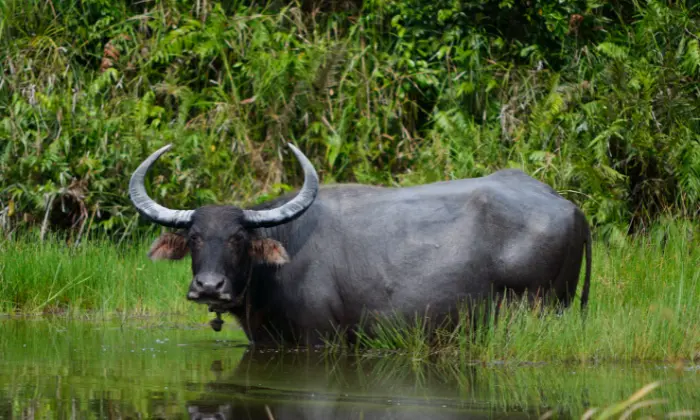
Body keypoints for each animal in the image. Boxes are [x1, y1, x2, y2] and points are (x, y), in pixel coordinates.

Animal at [127, 143, 592, 346]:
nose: (209, 286)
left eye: (239, 238)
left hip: (539, 305)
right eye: (194, 237)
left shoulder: (318, 341)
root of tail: (568, 206)